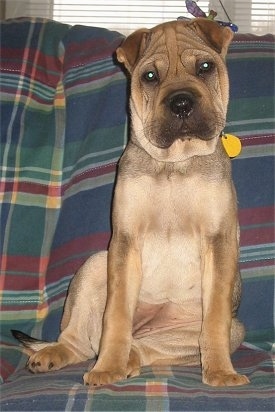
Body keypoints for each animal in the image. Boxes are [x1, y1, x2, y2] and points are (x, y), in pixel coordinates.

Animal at [12, 18, 250, 386]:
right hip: (95, 264)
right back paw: (60, 355)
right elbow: (117, 316)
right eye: (150, 76)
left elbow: (214, 321)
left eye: (205, 67)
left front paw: (222, 373)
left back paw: (132, 359)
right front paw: (106, 368)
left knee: (150, 347)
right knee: (81, 341)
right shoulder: (125, 240)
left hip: (223, 331)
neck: (173, 163)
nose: (181, 103)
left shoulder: (218, 239)